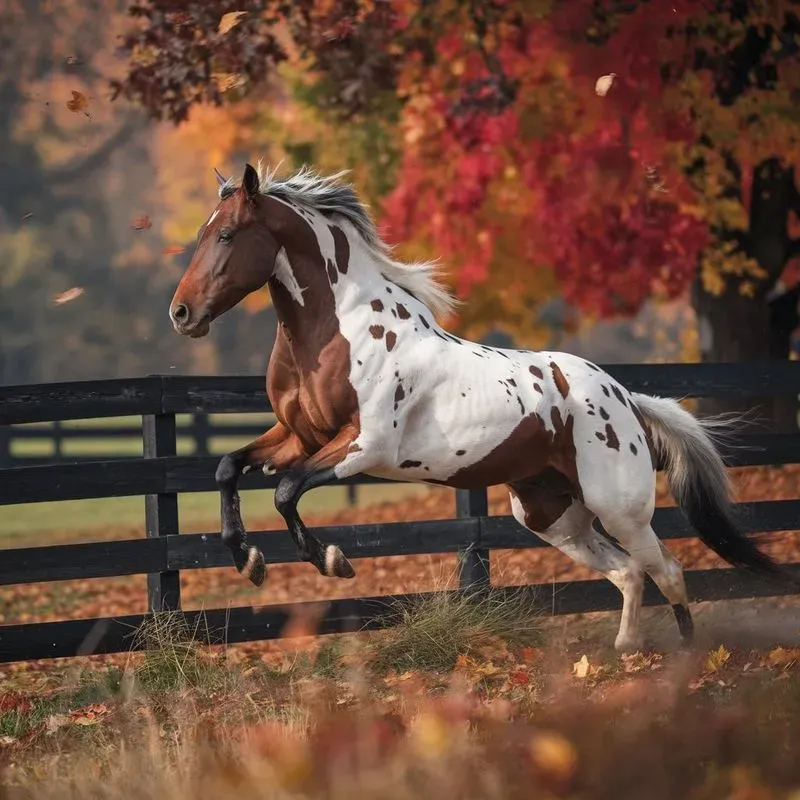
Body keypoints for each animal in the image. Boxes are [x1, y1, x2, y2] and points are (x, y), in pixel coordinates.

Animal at [168, 162, 791, 653]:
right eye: (203, 234)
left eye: (227, 235)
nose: (181, 313)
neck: (336, 331)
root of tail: (627, 401)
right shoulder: (298, 435)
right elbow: (228, 468)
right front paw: (249, 562)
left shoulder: (363, 446)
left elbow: (285, 490)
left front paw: (333, 561)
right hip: (551, 516)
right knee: (629, 573)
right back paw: (625, 651)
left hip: (620, 507)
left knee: (668, 570)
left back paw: (684, 661)